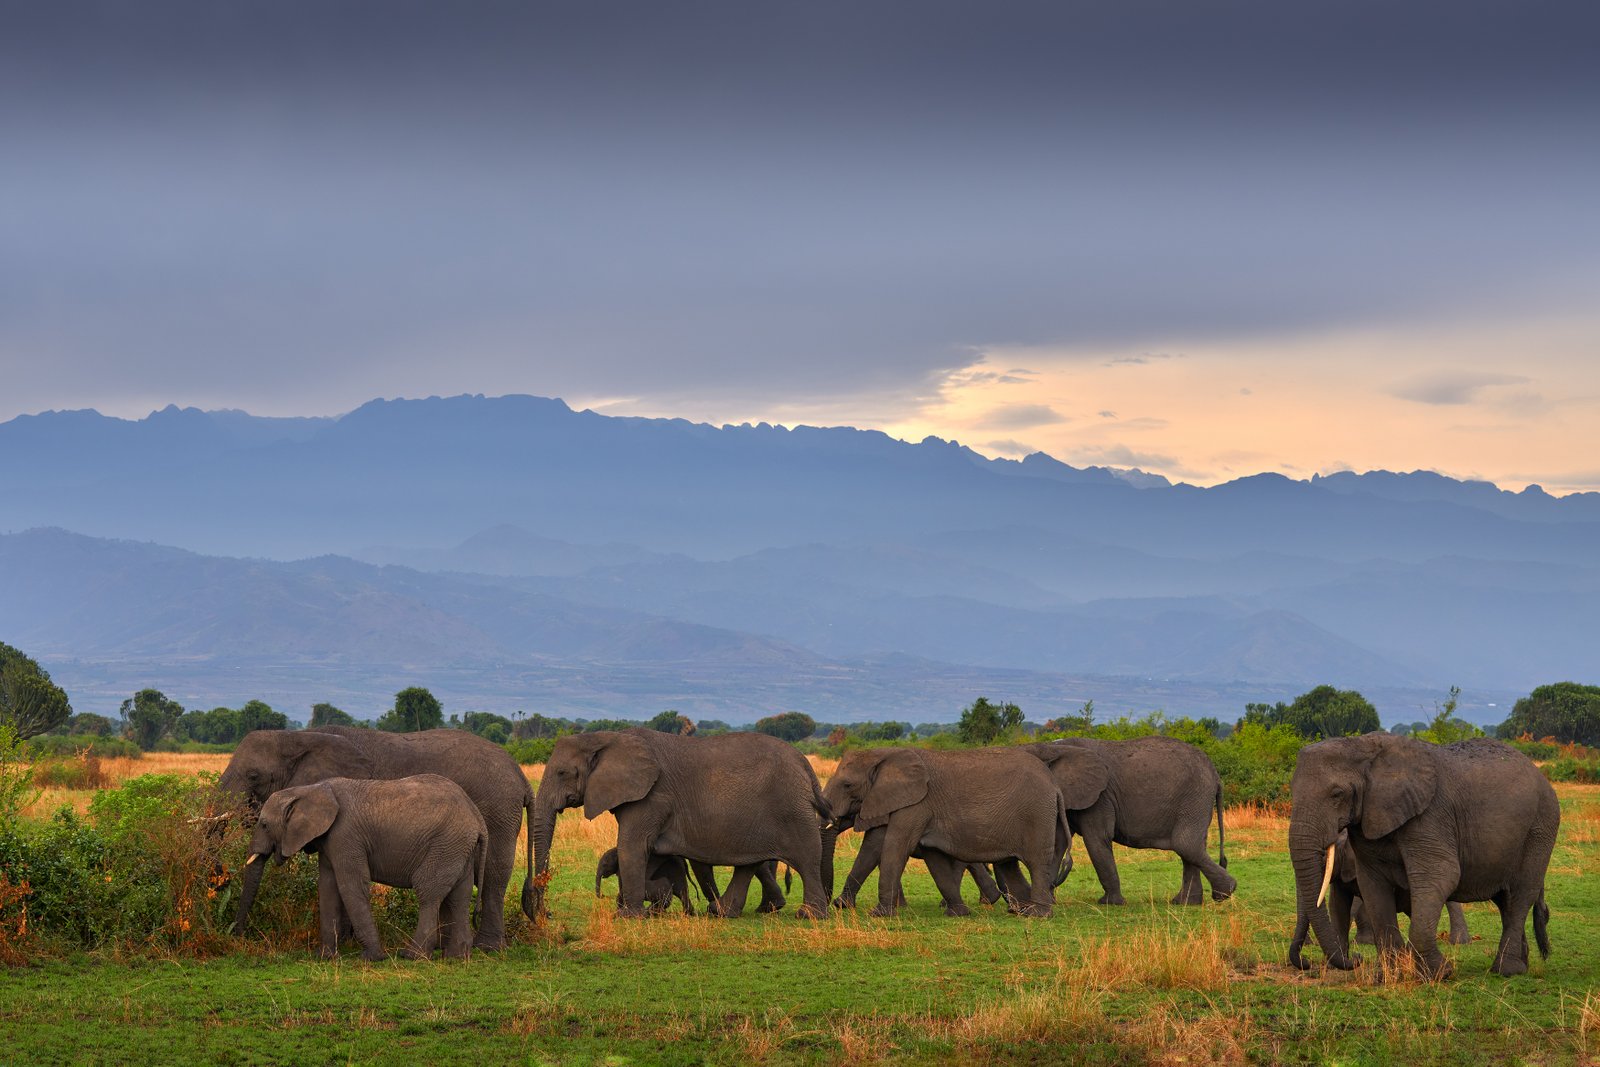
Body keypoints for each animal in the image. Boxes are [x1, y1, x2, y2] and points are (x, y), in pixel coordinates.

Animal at [244, 774, 487, 961]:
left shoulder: (345, 835)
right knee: (459, 896)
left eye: (264, 825)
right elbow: (327, 888)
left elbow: (351, 886)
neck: (311, 789)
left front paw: (372, 958)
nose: (241, 933)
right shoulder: (330, 840)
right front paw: (324, 957)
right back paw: (456, 957)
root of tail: (477, 816)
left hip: (446, 843)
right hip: (457, 846)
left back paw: (412, 956)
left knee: (428, 892)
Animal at [531, 728, 835, 919]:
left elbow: (632, 847)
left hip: (792, 810)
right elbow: (648, 852)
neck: (606, 737)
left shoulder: (652, 797)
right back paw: (721, 913)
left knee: (806, 859)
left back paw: (809, 916)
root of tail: (804, 762)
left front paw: (627, 916)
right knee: (749, 863)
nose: (547, 913)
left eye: (562, 772)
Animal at [821, 747, 1067, 917]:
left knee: (1036, 863)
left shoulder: (917, 804)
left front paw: (878, 914)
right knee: (1008, 865)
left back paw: (1037, 915)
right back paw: (1019, 911)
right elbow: (880, 846)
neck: (883, 754)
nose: (829, 902)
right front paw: (957, 913)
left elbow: (895, 845)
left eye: (847, 785)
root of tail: (1054, 785)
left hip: (1037, 814)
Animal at [1020, 737, 1236, 905]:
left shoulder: (1101, 797)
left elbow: (1096, 839)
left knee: (1186, 844)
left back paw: (1225, 892)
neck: (1053, 747)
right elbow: (1057, 842)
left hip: (1195, 797)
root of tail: (1216, 776)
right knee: (1192, 848)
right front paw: (1049, 901)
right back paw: (1185, 903)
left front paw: (1109, 903)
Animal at [1288, 830, 1470, 970]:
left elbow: (1363, 905)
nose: (1306, 962)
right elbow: (1338, 906)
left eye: (1323, 855)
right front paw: (1334, 966)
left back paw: (1458, 941)